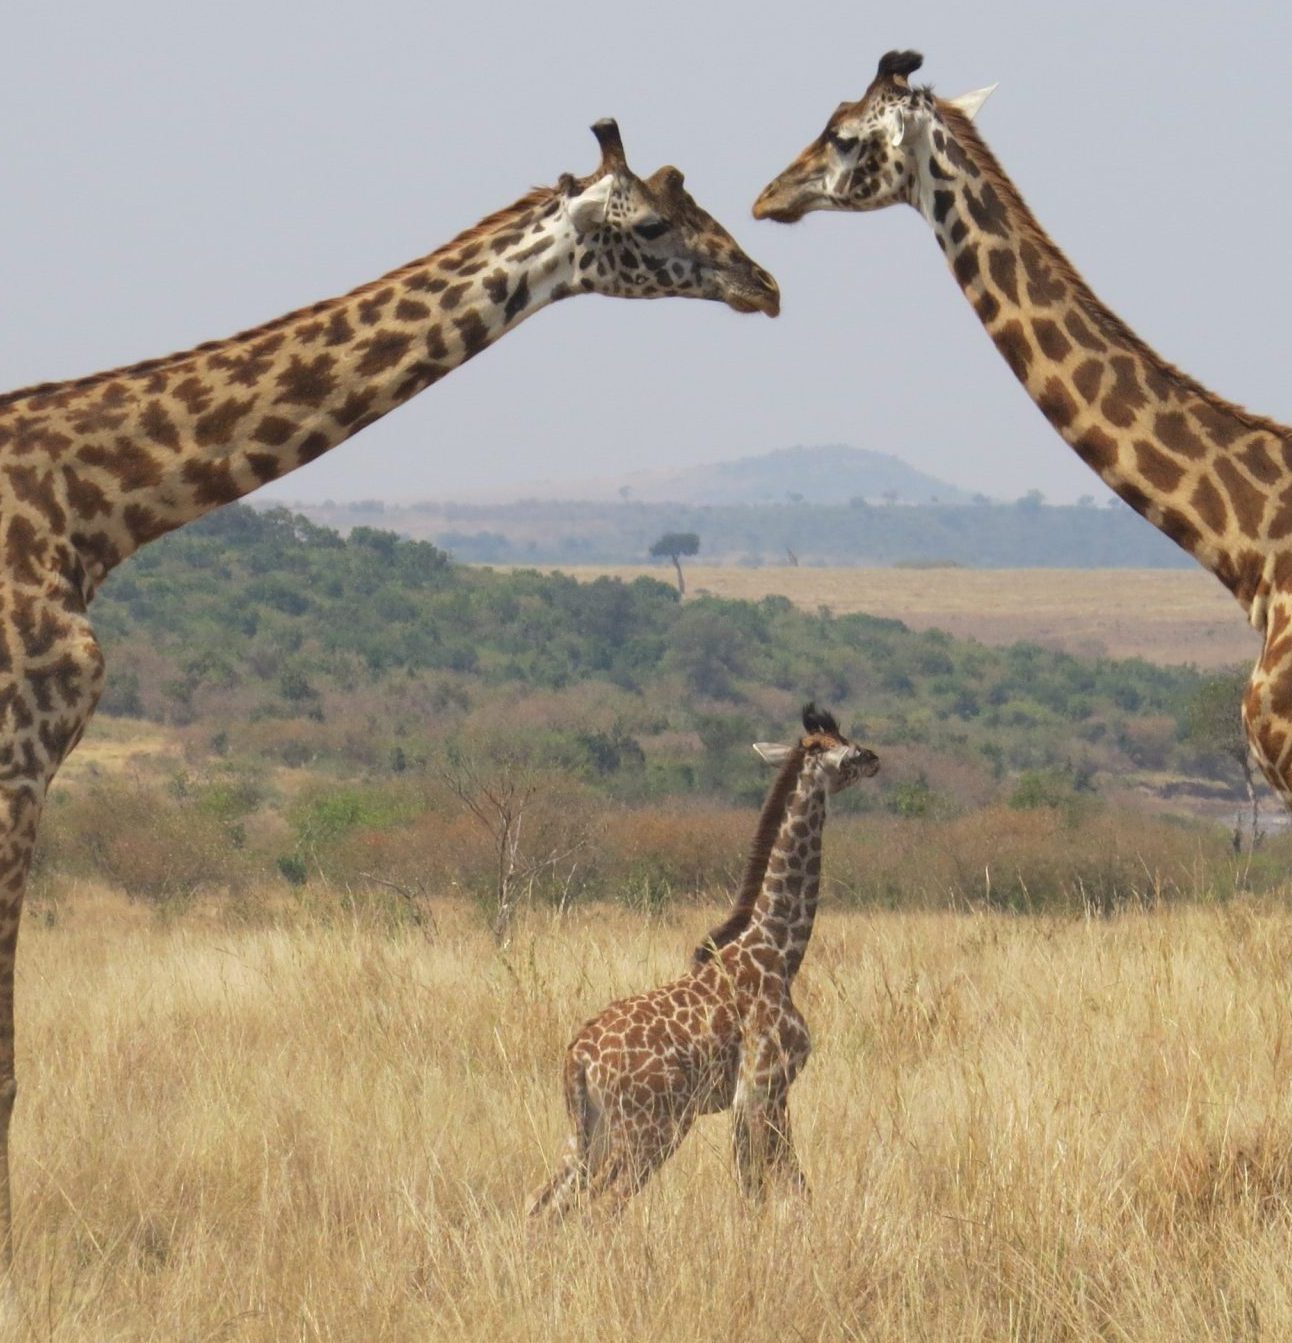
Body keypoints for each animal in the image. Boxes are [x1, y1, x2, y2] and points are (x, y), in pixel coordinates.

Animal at [529, 703, 881, 1219]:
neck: (780, 951)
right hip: (651, 1127)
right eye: (847, 750)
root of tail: (577, 1057)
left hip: (588, 1133)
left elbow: (756, 1186)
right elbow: (787, 1185)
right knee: (601, 1206)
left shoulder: (748, 1099)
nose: (876, 758)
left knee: (543, 1204)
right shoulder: (765, 1087)